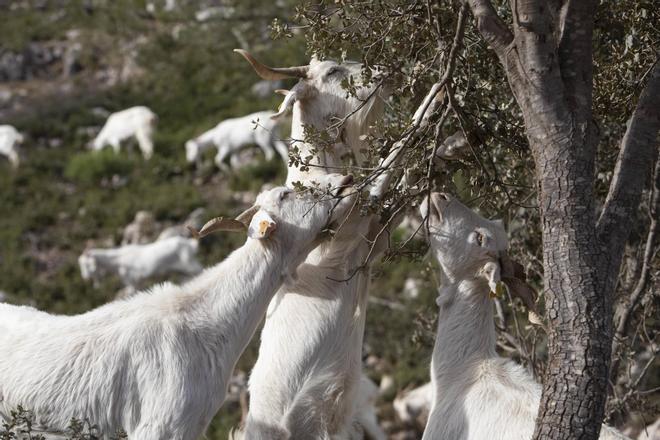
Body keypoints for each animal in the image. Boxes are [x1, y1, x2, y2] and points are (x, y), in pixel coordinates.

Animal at [237, 49, 390, 438]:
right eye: (333, 71)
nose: (383, 72)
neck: (312, 175)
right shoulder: (352, 230)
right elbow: (389, 169)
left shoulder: (372, 241)